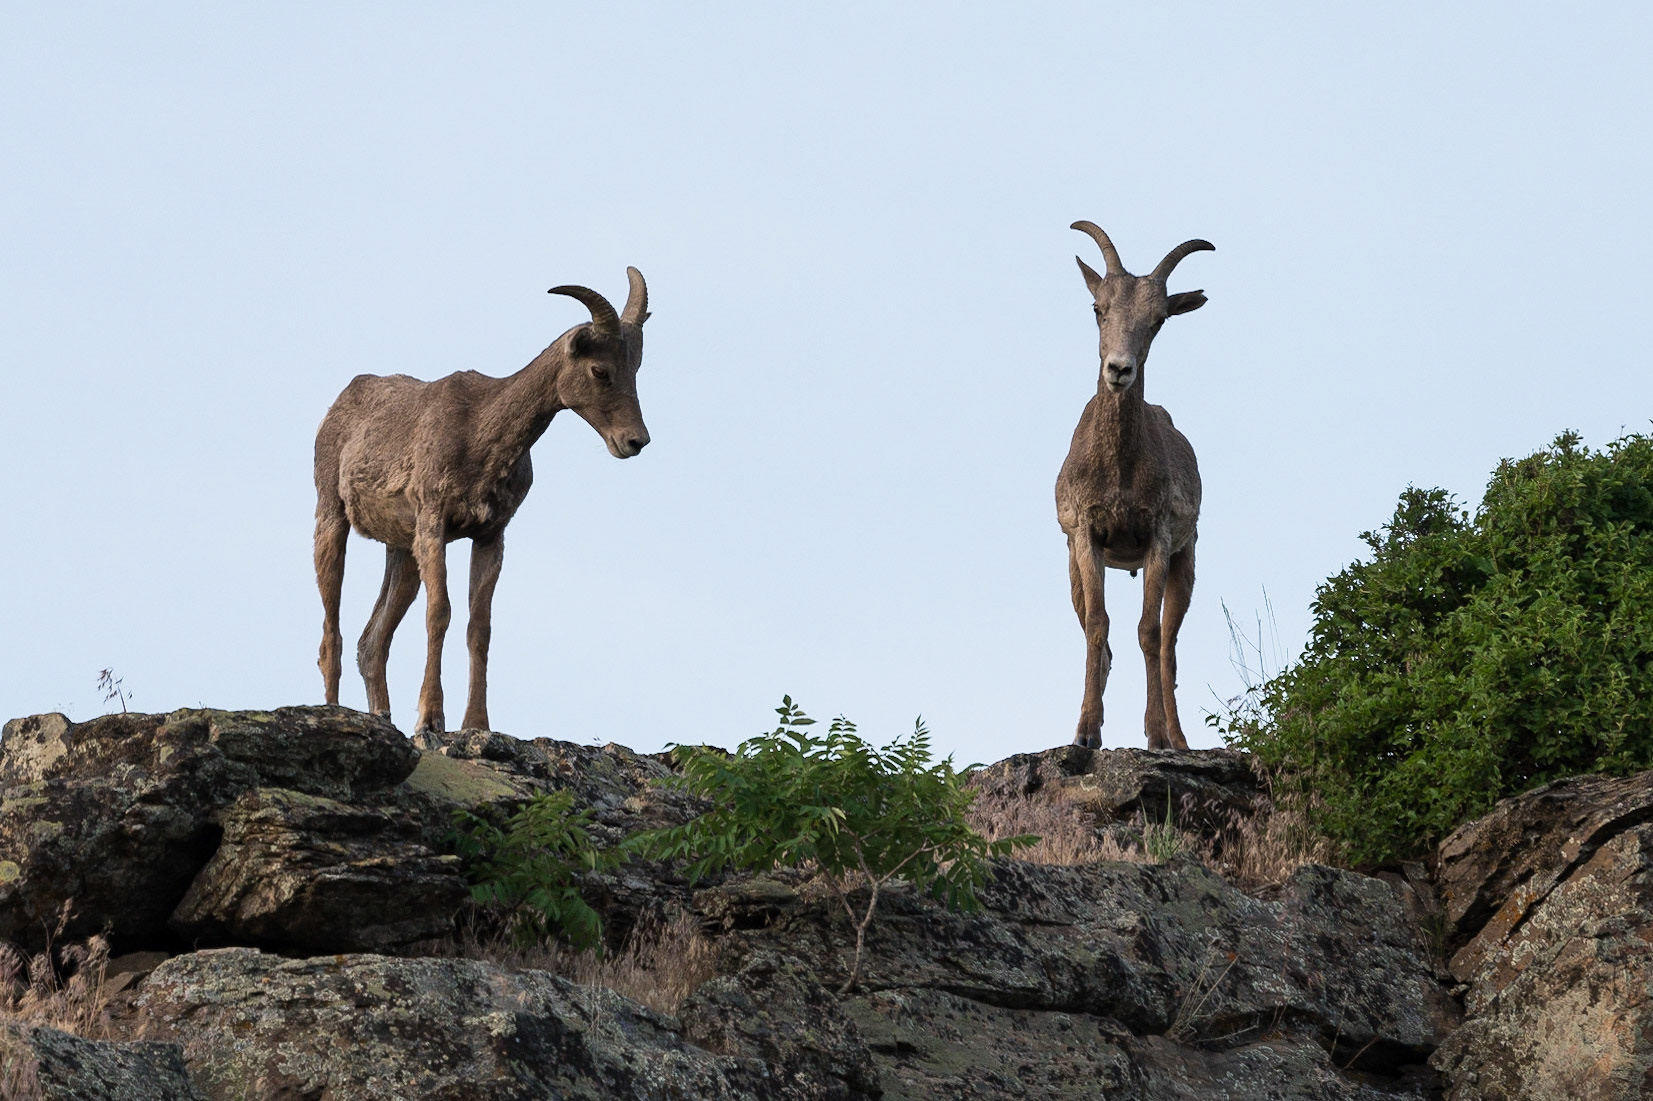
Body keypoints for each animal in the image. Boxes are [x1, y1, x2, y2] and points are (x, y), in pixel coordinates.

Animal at [312, 268, 651, 735]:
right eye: (600, 370)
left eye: (635, 368)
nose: (635, 441)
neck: (480, 433)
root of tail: (337, 406)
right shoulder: (434, 523)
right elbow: (440, 613)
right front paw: (430, 720)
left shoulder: (489, 534)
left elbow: (480, 627)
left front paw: (476, 723)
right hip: (331, 515)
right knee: (333, 633)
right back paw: (334, 711)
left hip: (400, 550)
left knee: (372, 641)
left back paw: (381, 714)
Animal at [1056, 223, 1211, 751]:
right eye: (1097, 308)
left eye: (1158, 320)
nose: (1119, 369)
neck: (1120, 473)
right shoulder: (1086, 535)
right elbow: (1098, 626)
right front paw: (1086, 732)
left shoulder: (1158, 539)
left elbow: (1149, 632)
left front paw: (1157, 737)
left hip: (1187, 562)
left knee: (1170, 646)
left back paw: (1180, 740)